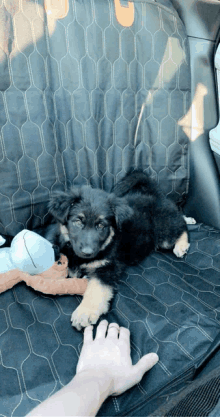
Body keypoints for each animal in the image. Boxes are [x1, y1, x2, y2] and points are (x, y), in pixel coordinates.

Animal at [43, 169, 193, 328]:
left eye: (101, 225)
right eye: (78, 221)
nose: (88, 252)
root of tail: (155, 195)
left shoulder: (107, 268)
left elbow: (96, 288)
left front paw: (85, 312)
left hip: (164, 234)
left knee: (181, 227)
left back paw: (182, 245)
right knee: (179, 218)